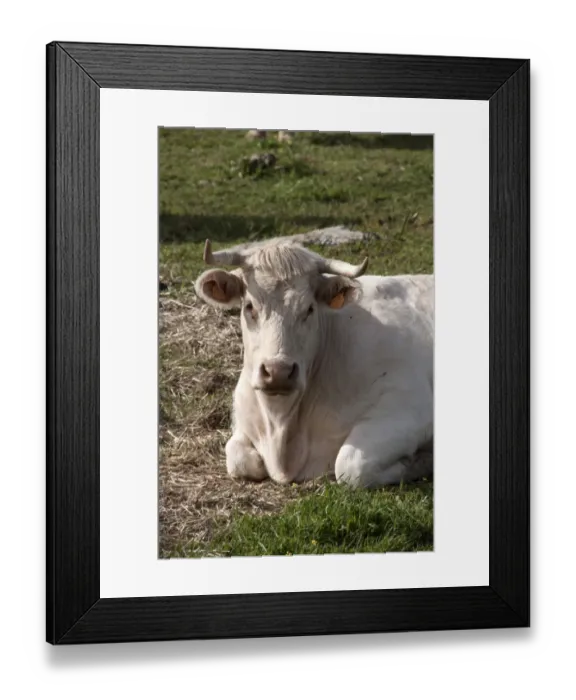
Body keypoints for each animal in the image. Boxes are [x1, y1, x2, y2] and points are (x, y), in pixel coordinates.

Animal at [194, 238, 434, 488]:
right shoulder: (243, 416)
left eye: (309, 308)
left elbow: (350, 466)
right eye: (250, 306)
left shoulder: (410, 405)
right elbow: (239, 458)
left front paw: (422, 461)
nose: (278, 372)